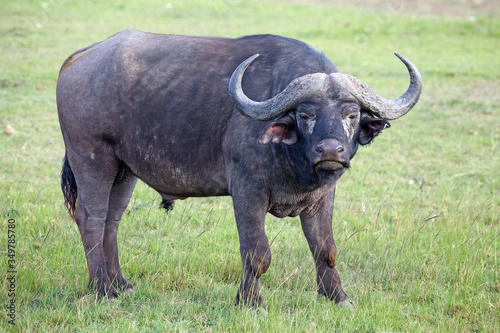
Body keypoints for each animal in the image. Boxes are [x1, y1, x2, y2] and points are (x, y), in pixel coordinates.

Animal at [57, 29, 422, 308]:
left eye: (351, 114)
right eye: (305, 114)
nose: (330, 150)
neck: (294, 162)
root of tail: (77, 59)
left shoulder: (322, 197)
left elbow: (325, 248)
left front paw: (337, 297)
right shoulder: (248, 192)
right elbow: (257, 252)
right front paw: (250, 302)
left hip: (124, 170)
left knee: (112, 220)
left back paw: (121, 284)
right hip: (91, 157)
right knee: (91, 219)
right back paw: (102, 289)